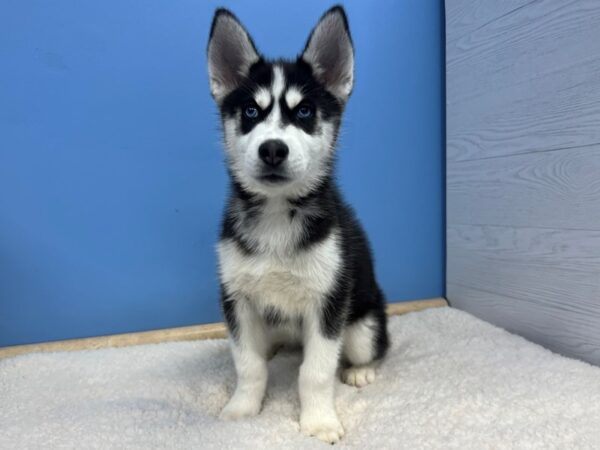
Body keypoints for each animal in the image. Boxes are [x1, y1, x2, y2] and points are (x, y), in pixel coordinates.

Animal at [206, 6, 392, 442]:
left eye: (304, 111)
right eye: (251, 112)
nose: (273, 149)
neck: (277, 214)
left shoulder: (328, 303)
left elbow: (316, 372)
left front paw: (319, 421)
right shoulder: (237, 299)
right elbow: (249, 364)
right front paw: (242, 410)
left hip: (362, 324)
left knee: (370, 348)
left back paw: (361, 371)